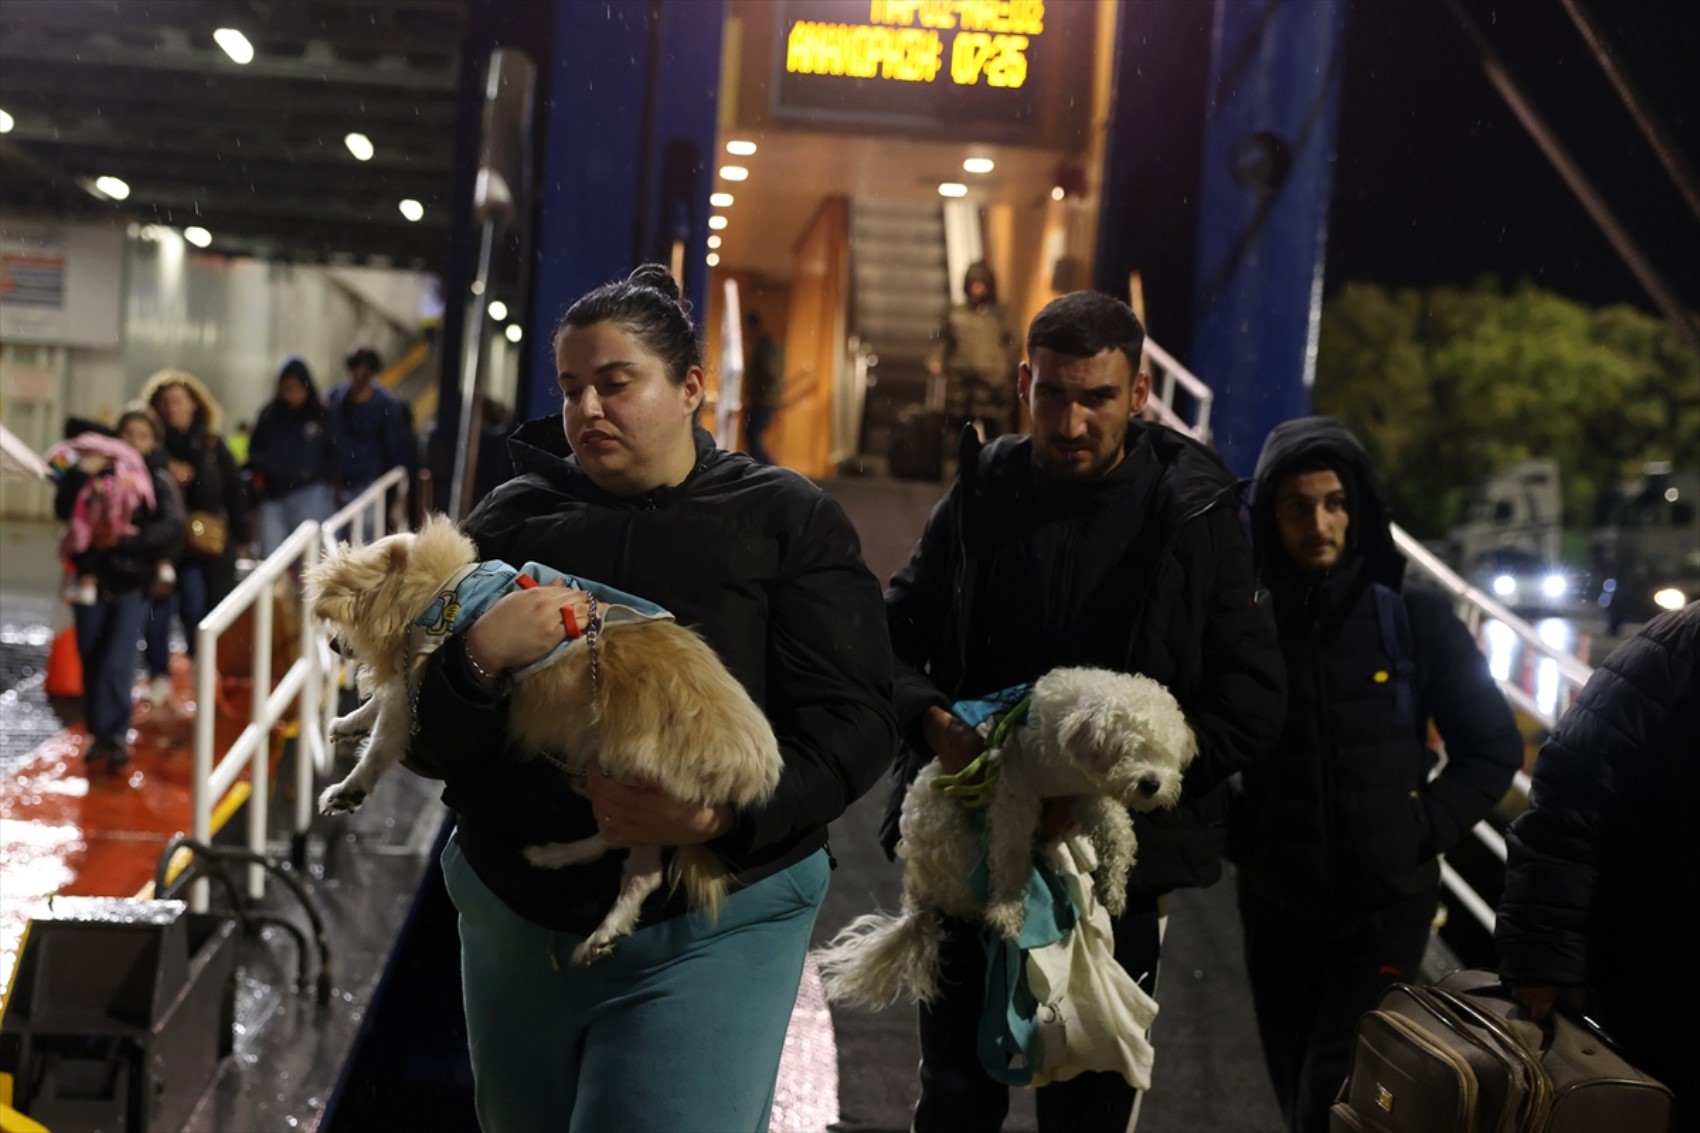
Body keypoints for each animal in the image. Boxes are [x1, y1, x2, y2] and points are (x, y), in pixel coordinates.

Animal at [306, 517, 782, 959]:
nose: (330, 646)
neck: (447, 590)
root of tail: (754, 772)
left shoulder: (414, 687)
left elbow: (379, 746)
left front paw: (348, 790)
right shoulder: (412, 681)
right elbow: (378, 705)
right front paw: (350, 721)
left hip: (630, 778)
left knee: (639, 861)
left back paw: (581, 891)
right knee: (623, 848)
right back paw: (564, 872)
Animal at [812, 666, 1196, 1000]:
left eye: (1163, 752)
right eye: (1124, 749)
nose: (1151, 785)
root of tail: (919, 895)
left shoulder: (1085, 794)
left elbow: (1119, 832)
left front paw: (1113, 887)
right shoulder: (1014, 792)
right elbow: (1010, 852)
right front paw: (1007, 910)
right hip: (952, 832)